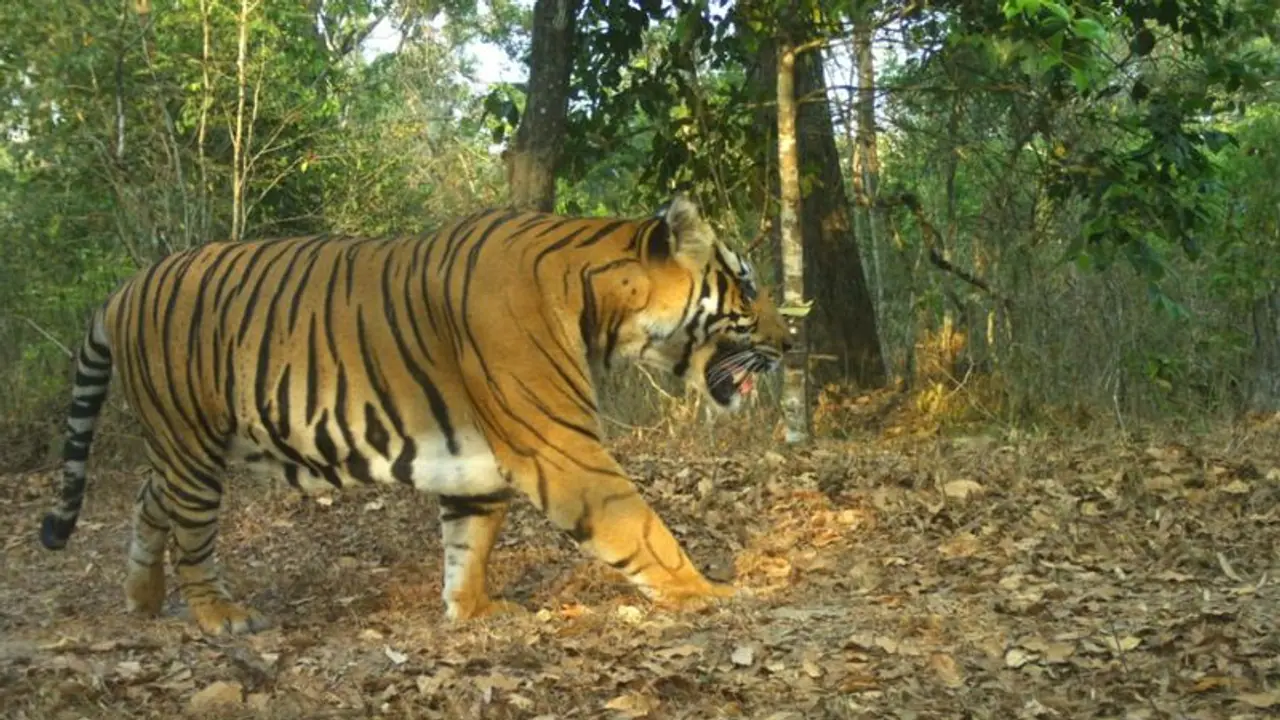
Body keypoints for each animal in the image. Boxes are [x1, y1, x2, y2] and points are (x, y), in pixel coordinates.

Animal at [39, 194, 791, 635]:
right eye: (745, 281)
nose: (789, 341)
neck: (602, 303)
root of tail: (123, 288)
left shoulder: (478, 460)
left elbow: (470, 542)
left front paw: (474, 610)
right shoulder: (560, 446)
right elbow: (638, 523)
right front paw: (710, 591)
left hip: (186, 445)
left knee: (148, 500)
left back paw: (141, 600)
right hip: (191, 441)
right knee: (189, 532)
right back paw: (220, 616)